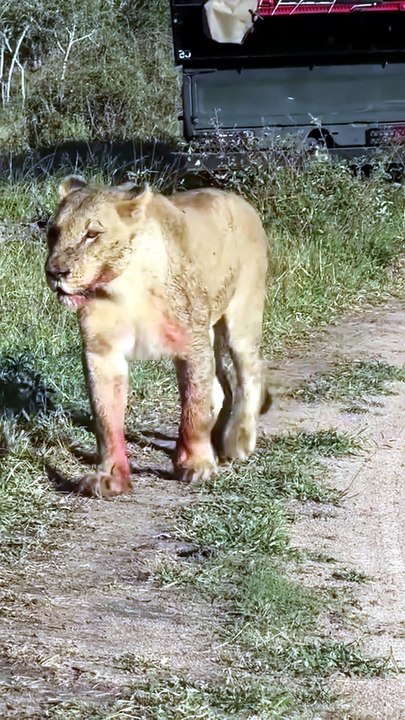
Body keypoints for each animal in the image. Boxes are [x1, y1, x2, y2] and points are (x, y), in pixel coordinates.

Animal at [45, 176, 271, 498]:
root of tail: (241, 201)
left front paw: (197, 465)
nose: (55, 272)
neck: (124, 289)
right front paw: (110, 477)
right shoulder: (101, 353)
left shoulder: (192, 345)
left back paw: (238, 440)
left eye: (92, 234)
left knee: (250, 372)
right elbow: (105, 418)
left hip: (241, 319)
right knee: (219, 384)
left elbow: (193, 409)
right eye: (53, 233)